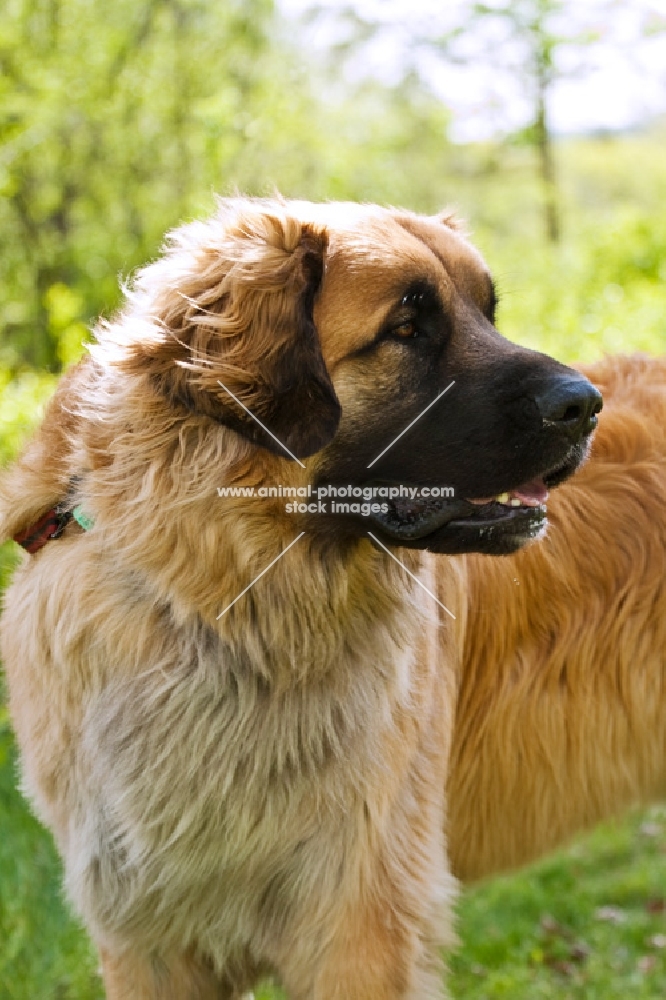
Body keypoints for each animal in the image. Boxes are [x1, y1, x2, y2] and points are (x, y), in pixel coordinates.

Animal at [0, 197, 600, 1000]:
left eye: (489, 312)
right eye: (406, 329)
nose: (587, 405)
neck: (228, 609)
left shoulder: (357, 923)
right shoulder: (144, 931)